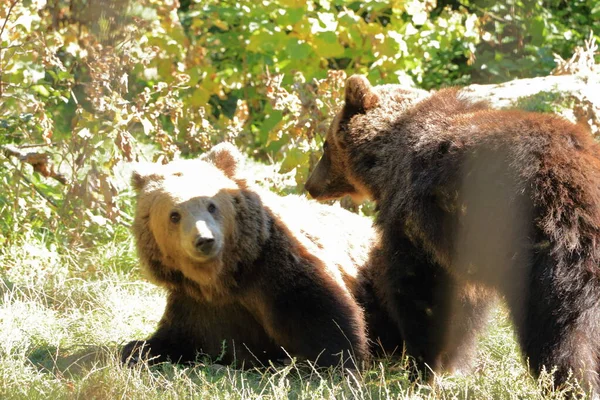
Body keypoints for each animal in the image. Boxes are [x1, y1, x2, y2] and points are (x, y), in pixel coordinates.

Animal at [120, 143, 404, 368]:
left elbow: (322, 315)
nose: (204, 240)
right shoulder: (197, 303)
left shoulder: (276, 271)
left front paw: (336, 360)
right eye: (174, 215)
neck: (224, 278)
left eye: (211, 206)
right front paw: (137, 350)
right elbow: (175, 339)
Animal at [304, 75, 600, 394]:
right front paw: (453, 365)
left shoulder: (414, 219)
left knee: (559, 327)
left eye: (325, 146)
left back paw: (571, 382)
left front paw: (422, 368)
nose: (310, 185)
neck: (387, 158)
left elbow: (418, 291)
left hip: (544, 244)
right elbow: (465, 305)